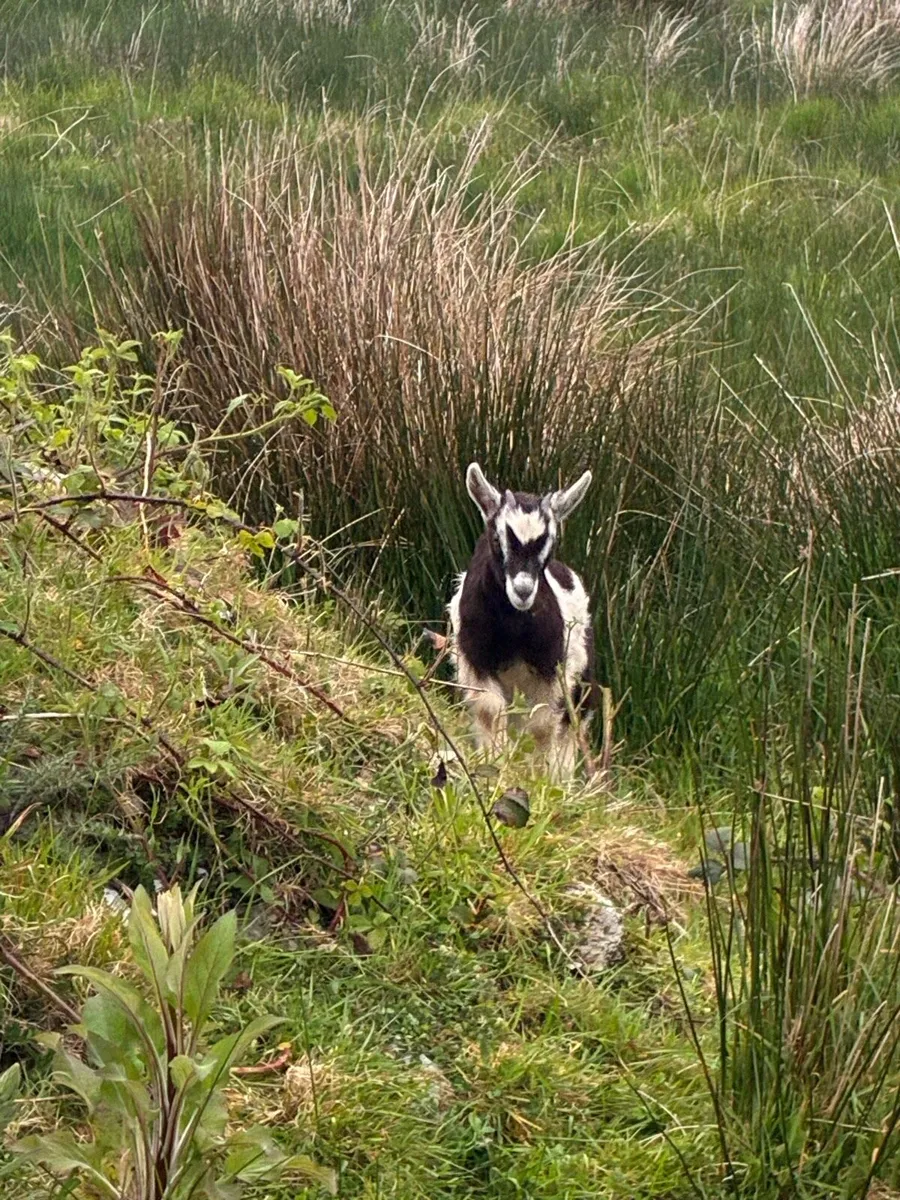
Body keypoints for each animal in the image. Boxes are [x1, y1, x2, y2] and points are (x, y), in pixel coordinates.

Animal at [448, 462, 596, 780]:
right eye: (497, 538)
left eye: (550, 544)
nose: (523, 590)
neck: (511, 630)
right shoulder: (476, 658)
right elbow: (490, 709)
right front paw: (495, 761)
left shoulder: (551, 668)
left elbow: (542, 724)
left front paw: (539, 777)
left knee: (569, 723)